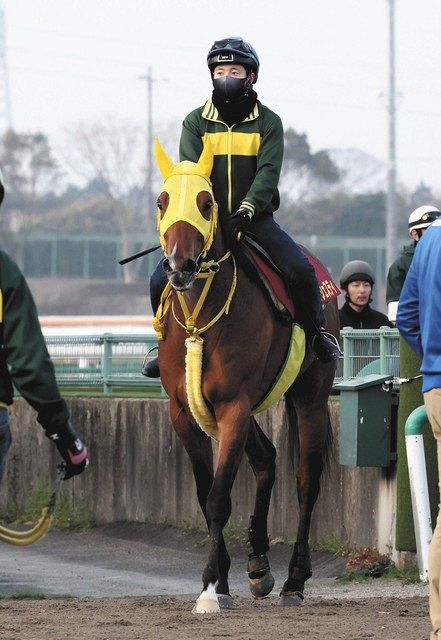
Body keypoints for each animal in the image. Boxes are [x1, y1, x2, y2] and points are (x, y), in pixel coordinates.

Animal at [150, 138, 338, 612]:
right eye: (162, 201)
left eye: (205, 202)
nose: (179, 266)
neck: (199, 321)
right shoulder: (184, 413)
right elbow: (205, 496)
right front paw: (221, 581)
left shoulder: (233, 407)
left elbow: (219, 499)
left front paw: (208, 590)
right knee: (266, 458)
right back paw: (257, 565)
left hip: (310, 397)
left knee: (306, 479)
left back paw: (294, 580)